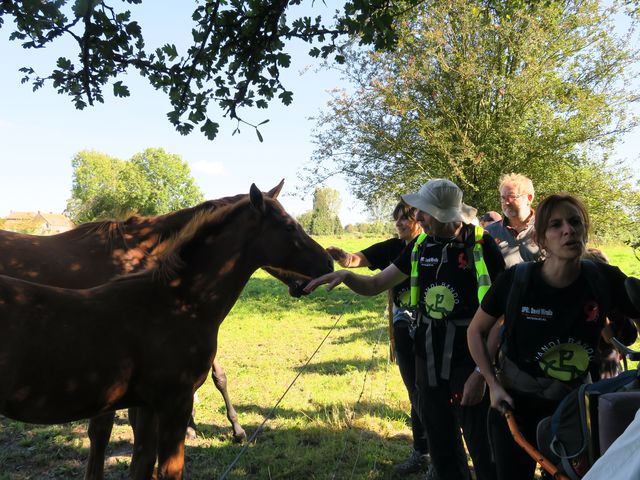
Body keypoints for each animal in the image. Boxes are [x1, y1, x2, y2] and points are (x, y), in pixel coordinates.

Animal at [2, 182, 336, 478]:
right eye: (289, 226)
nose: (329, 263)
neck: (177, 300)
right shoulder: (174, 401)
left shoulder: (148, 406)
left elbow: (141, 464)